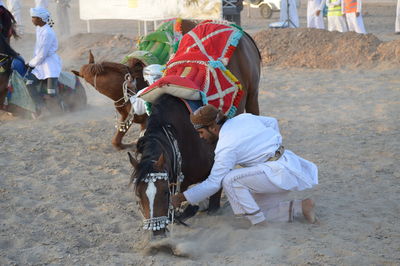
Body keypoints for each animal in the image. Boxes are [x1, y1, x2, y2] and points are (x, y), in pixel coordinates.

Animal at [126, 21, 260, 237]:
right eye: (138, 194)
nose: (157, 232)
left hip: (253, 95)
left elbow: (211, 198)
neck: (180, 134)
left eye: (164, 191)